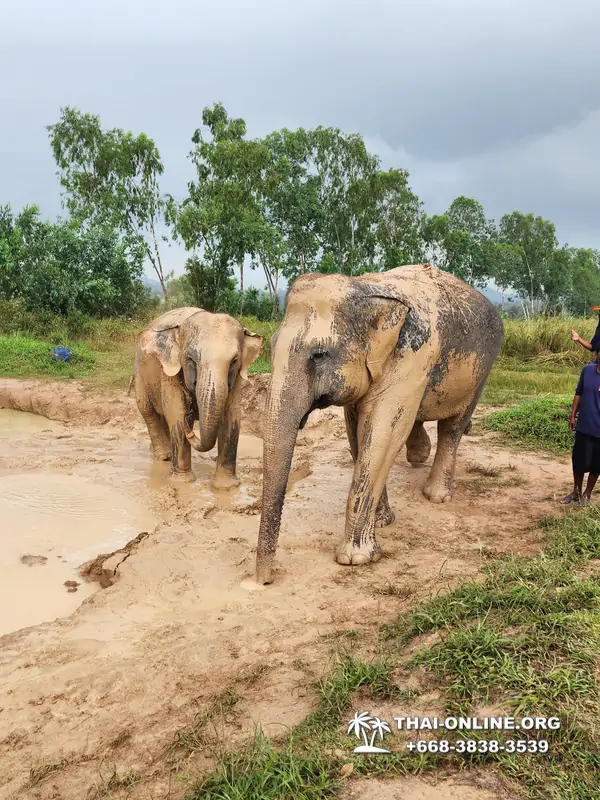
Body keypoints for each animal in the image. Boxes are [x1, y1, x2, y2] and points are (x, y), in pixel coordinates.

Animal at [133, 307, 262, 486]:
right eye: (191, 359)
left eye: (234, 361)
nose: (190, 430)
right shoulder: (169, 370)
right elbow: (176, 412)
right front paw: (183, 483)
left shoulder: (236, 377)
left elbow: (232, 415)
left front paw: (226, 487)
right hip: (139, 372)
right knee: (147, 411)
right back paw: (164, 457)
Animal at [255, 263, 503, 584]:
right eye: (271, 346)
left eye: (319, 355)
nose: (266, 581)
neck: (363, 288)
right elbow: (358, 433)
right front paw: (384, 522)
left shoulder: (413, 355)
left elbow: (383, 432)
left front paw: (355, 558)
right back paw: (418, 455)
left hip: (482, 369)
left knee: (453, 427)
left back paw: (436, 495)